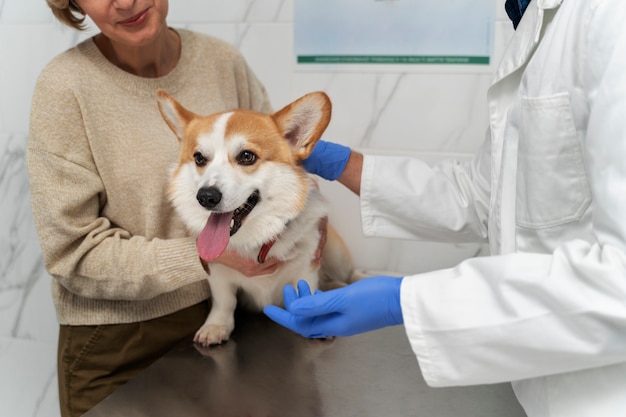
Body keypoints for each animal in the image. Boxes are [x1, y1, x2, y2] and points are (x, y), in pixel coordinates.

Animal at [156, 90, 358, 344]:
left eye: (246, 156)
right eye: (199, 158)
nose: (206, 196)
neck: (255, 239)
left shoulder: (307, 266)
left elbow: (307, 293)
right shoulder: (218, 273)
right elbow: (224, 301)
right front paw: (216, 326)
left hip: (336, 253)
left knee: (351, 274)